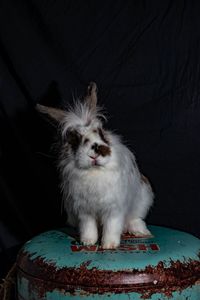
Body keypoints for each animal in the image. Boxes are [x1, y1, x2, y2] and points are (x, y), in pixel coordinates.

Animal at [36, 82, 154, 248]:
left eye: (101, 132)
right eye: (74, 139)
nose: (94, 154)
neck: (94, 171)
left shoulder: (114, 208)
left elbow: (112, 226)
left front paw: (109, 245)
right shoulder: (84, 211)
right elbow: (88, 227)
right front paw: (87, 242)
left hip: (143, 197)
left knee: (135, 218)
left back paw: (140, 231)